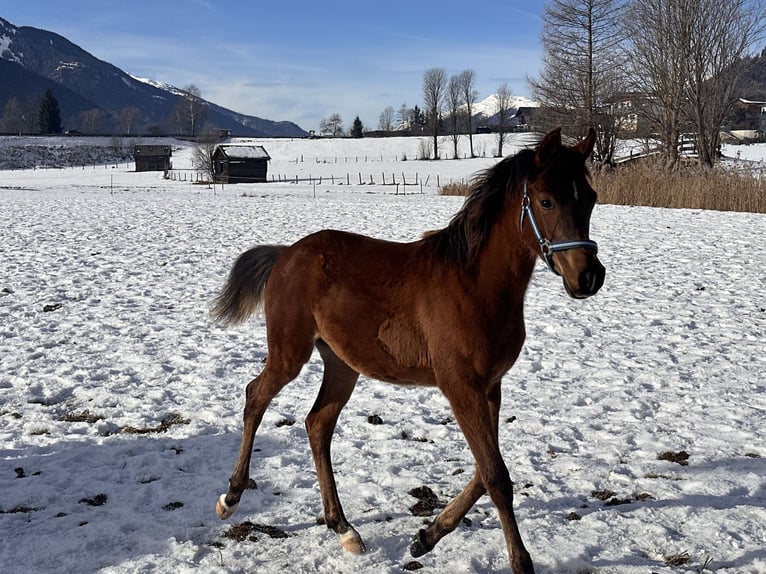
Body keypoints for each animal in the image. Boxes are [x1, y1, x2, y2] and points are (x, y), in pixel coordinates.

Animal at [210, 128, 608, 572]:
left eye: (590, 198)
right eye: (546, 201)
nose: (589, 277)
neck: (474, 285)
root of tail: (286, 254)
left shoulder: (490, 387)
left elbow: (483, 470)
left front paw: (426, 537)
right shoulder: (460, 387)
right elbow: (496, 476)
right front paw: (520, 562)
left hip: (343, 364)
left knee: (317, 424)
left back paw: (343, 527)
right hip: (289, 352)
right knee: (256, 397)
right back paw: (230, 498)